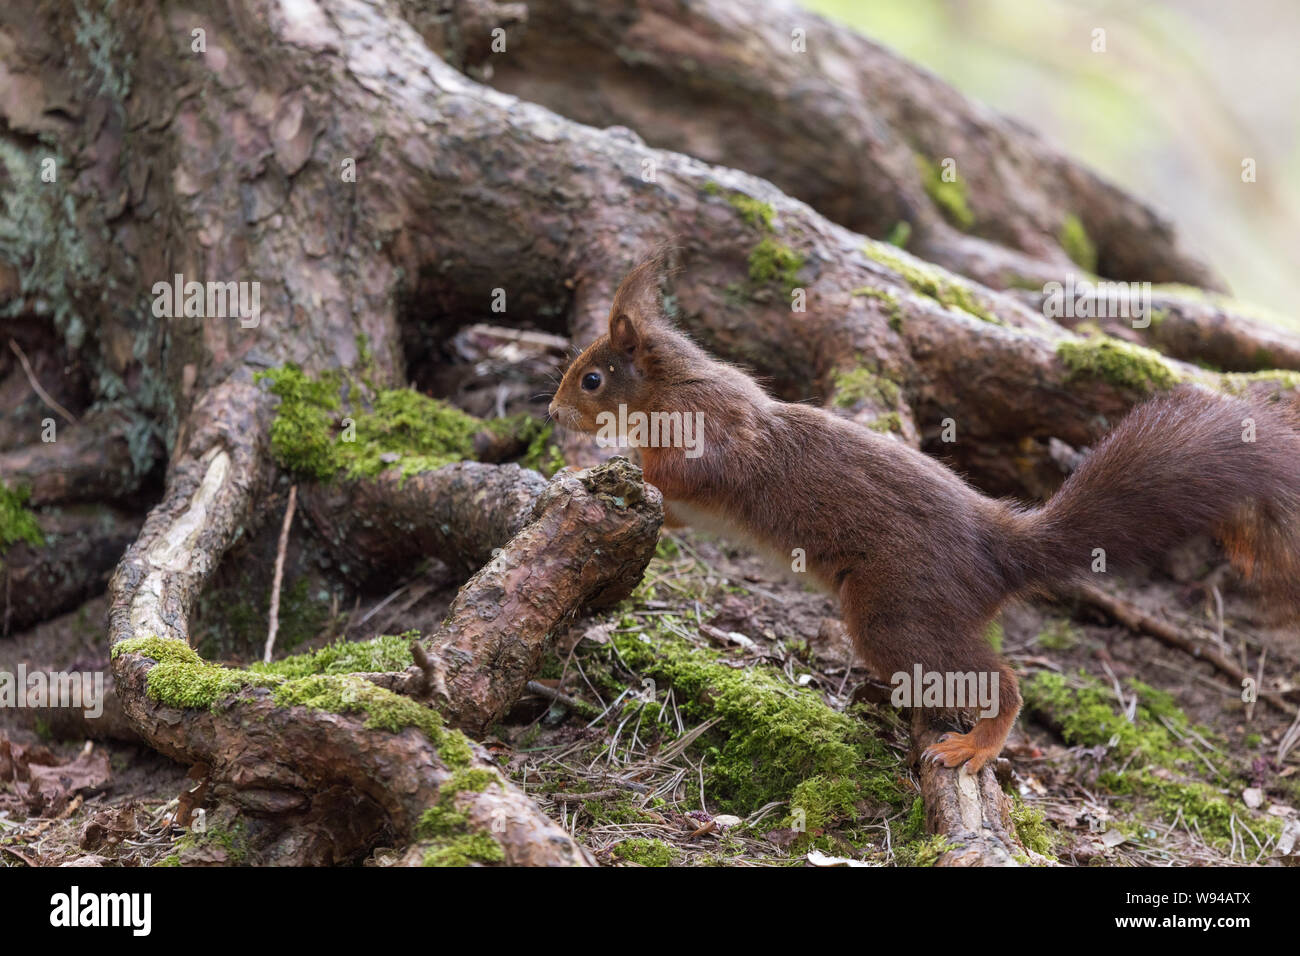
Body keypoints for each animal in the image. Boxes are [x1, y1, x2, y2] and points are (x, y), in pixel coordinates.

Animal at [548, 257, 1300, 775]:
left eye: (593, 378)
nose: (553, 413)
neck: (671, 387)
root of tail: (999, 549)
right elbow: (669, 511)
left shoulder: (715, 435)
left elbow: (687, 471)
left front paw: (616, 459)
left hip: (897, 608)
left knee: (1001, 682)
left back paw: (976, 745)